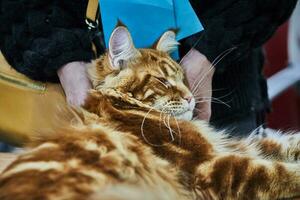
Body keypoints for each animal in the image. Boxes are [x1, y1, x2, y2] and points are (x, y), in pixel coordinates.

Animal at [0, 25, 300, 199]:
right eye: (163, 81)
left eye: (183, 78)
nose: (191, 98)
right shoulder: (214, 166)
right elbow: (282, 173)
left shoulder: (230, 145)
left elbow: (283, 142)